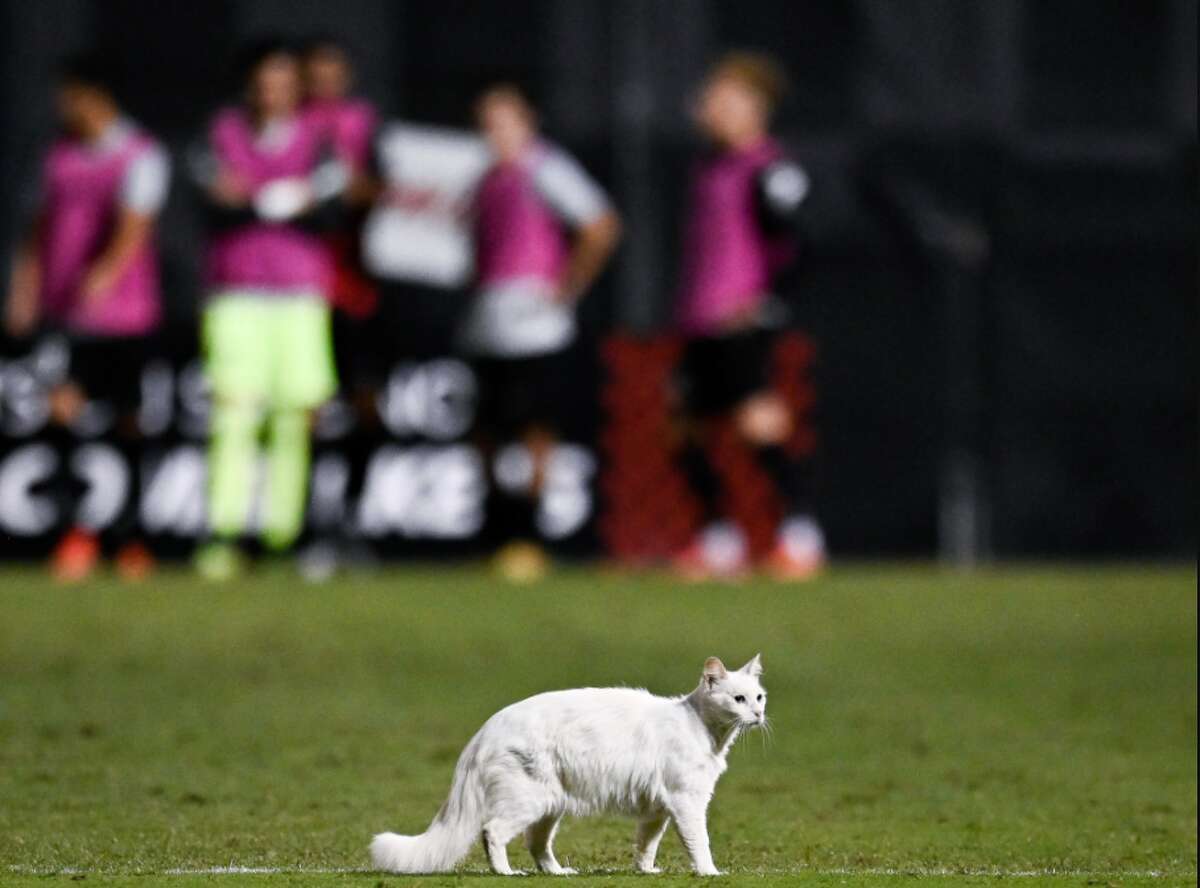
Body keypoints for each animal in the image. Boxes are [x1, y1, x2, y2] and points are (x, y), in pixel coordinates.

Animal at [369, 652, 768, 873]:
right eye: (739, 699)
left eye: (759, 697)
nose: (759, 715)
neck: (704, 728)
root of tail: (487, 728)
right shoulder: (686, 802)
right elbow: (699, 842)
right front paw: (709, 873)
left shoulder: (657, 810)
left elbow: (646, 845)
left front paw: (645, 871)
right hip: (528, 801)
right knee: (492, 832)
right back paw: (506, 873)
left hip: (550, 805)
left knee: (535, 844)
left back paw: (557, 873)